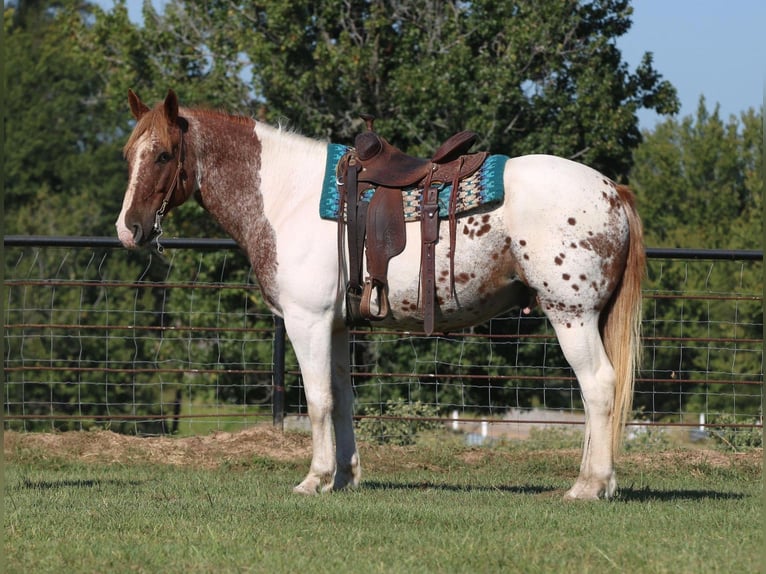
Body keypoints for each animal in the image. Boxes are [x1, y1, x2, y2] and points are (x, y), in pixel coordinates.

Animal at [117, 89, 644, 500]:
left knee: (599, 386)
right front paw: (344, 477)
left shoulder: (306, 321)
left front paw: (314, 478)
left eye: (163, 154)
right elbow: (342, 398)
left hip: (571, 313)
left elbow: (317, 400)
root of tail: (612, 190)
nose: (129, 229)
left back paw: (588, 485)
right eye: (128, 155)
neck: (288, 198)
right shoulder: (334, 326)